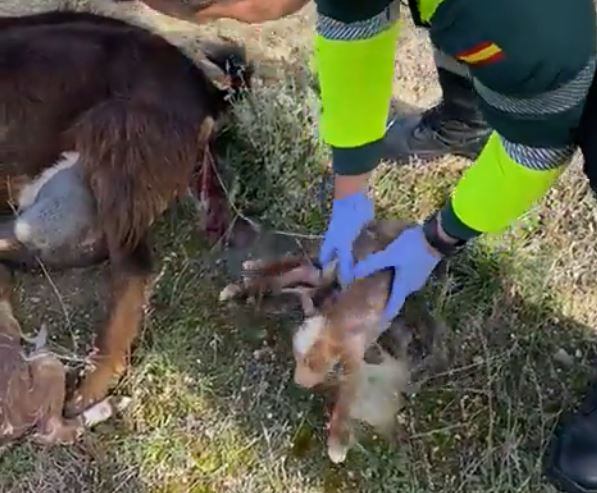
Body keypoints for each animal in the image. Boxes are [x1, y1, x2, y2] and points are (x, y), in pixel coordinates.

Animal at [219, 219, 448, 462]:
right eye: (298, 360)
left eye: (311, 365)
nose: (299, 383)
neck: (334, 326)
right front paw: (338, 444)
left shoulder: (353, 361)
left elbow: (345, 402)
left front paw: (336, 443)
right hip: (333, 268)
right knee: (300, 268)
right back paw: (247, 279)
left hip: (332, 271)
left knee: (304, 271)